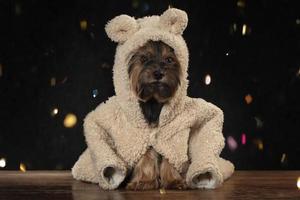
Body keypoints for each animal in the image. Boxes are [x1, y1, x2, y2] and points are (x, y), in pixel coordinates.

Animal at [125, 40, 186, 189]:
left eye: (169, 59)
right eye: (144, 58)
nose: (158, 73)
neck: (154, 101)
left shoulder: (169, 135)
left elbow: (169, 155)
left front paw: (173, 180)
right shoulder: (143, 134)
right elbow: (146, 155)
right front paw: (144, 181)